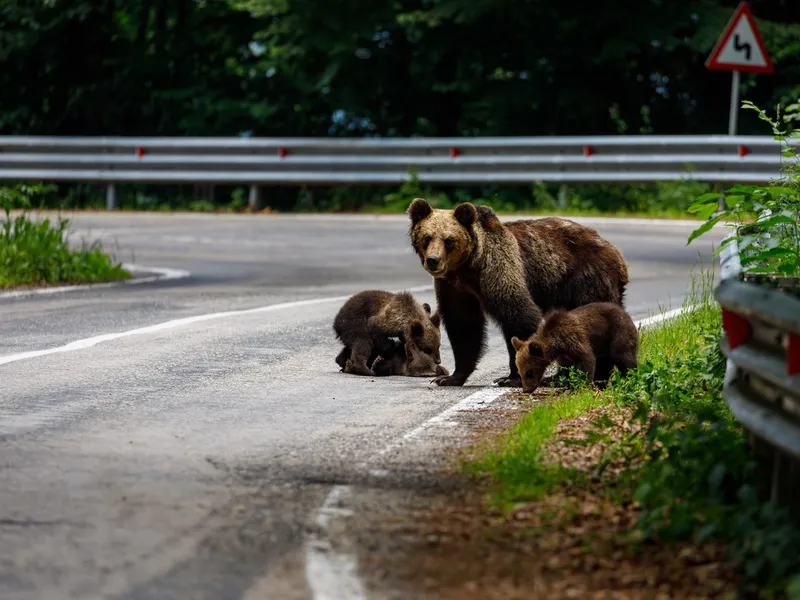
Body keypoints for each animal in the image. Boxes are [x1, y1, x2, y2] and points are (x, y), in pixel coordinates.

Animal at [410, 196, 628, 384]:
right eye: (427, 237)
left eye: (448, 240)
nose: (433, 260)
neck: (468, 267)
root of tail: (616, 254)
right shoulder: (455, 287)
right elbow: (463, 325)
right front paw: (450, 378)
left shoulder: (499, 269)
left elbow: (519, 315)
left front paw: (512, 377)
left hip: (587, 280)